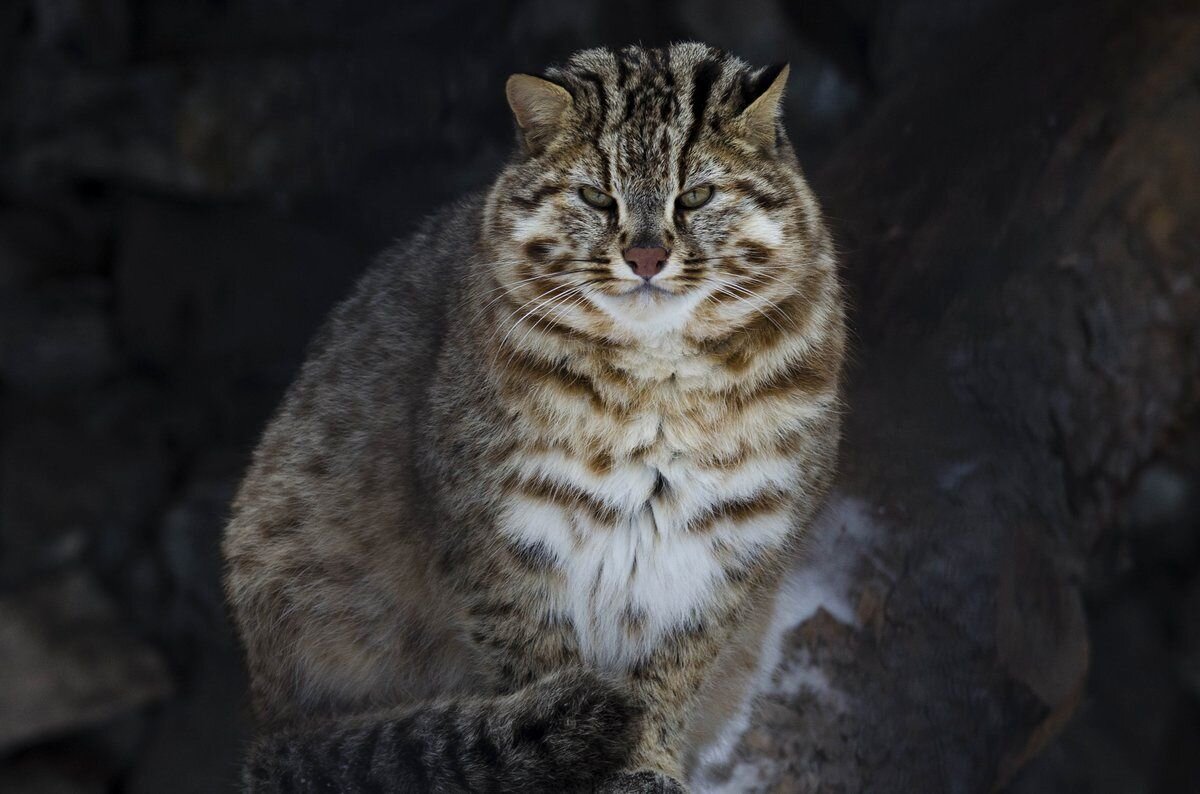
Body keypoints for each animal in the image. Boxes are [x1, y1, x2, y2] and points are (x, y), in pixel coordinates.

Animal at [223, 43, 844, 794]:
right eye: (595, 197)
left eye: (696, 195)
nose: (645, 256)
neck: (659, 386)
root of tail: (263, 719)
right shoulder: (504, 532)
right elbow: (536, 658)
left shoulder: (733, 544)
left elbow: (671, 673)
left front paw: (644, 763)